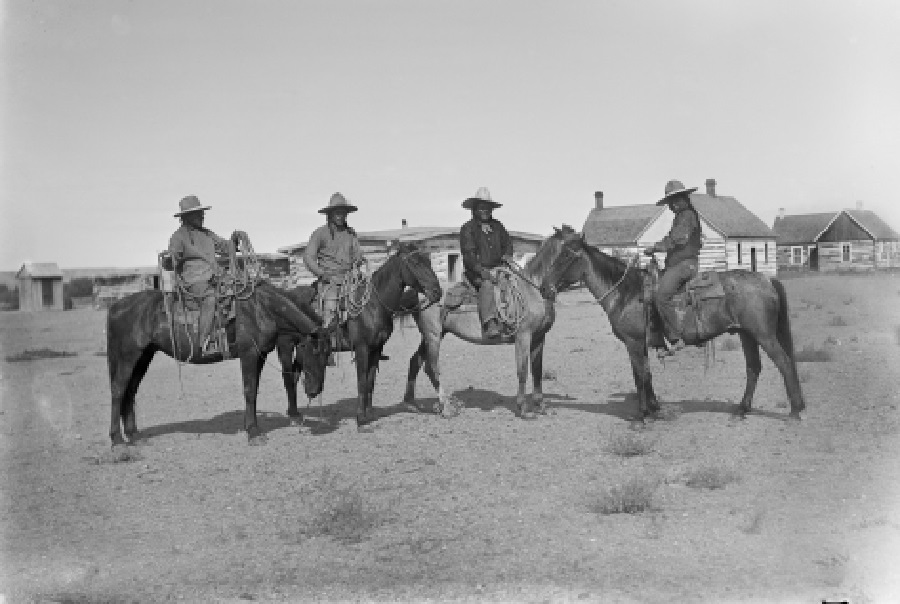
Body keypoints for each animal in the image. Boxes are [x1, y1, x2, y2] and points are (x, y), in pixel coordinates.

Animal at [105, 280, 330, 446]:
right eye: (314, 351)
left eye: (328, 353)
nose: (315, 390)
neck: (261, 309)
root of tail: (116, 306)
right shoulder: (249, 354)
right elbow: (249, 390)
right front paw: (253, 433)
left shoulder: (260, 355)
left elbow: (255, 390)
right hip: (128, 357)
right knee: (118, 390)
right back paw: (117, 440)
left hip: (144, 356)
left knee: (130, 391)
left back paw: (134, 435)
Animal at [282, 243, 440, 432]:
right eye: (415, 263)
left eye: (429, 261)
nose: (437, 292)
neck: (372, 306)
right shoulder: (361, 349)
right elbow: (361, 381)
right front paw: (360, 418)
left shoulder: (376, 348)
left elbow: (370, 380)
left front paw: (369, 413)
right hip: (286, 345)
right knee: (288, 376)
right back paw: (293, 414)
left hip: (300, 349)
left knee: (295, 374)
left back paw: (295, 414)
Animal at [402, 229, 568, 418]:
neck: (533, 291)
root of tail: (422, 293)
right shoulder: (523, 337)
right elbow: (523, 370)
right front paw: (523, 409)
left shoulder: (539, 337)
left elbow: (537, 370)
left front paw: (541, 406)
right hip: (433, 336)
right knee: (431, 368)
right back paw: (446, 407)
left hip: (431, 336)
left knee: (415, 361)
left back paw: (411, 403)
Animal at [536, 225, 804, 420]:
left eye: (565, 256)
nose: (544, 288)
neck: (626, 293)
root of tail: (766, 280)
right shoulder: (640, 344)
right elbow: (646, 374)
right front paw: (654, 407)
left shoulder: (633, 343)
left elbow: (639, 375)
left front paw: (643, 414)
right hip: (746, 333)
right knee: (753, 367)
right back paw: (742, 408)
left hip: (763, 334)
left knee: (784, 362)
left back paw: (795, 410)